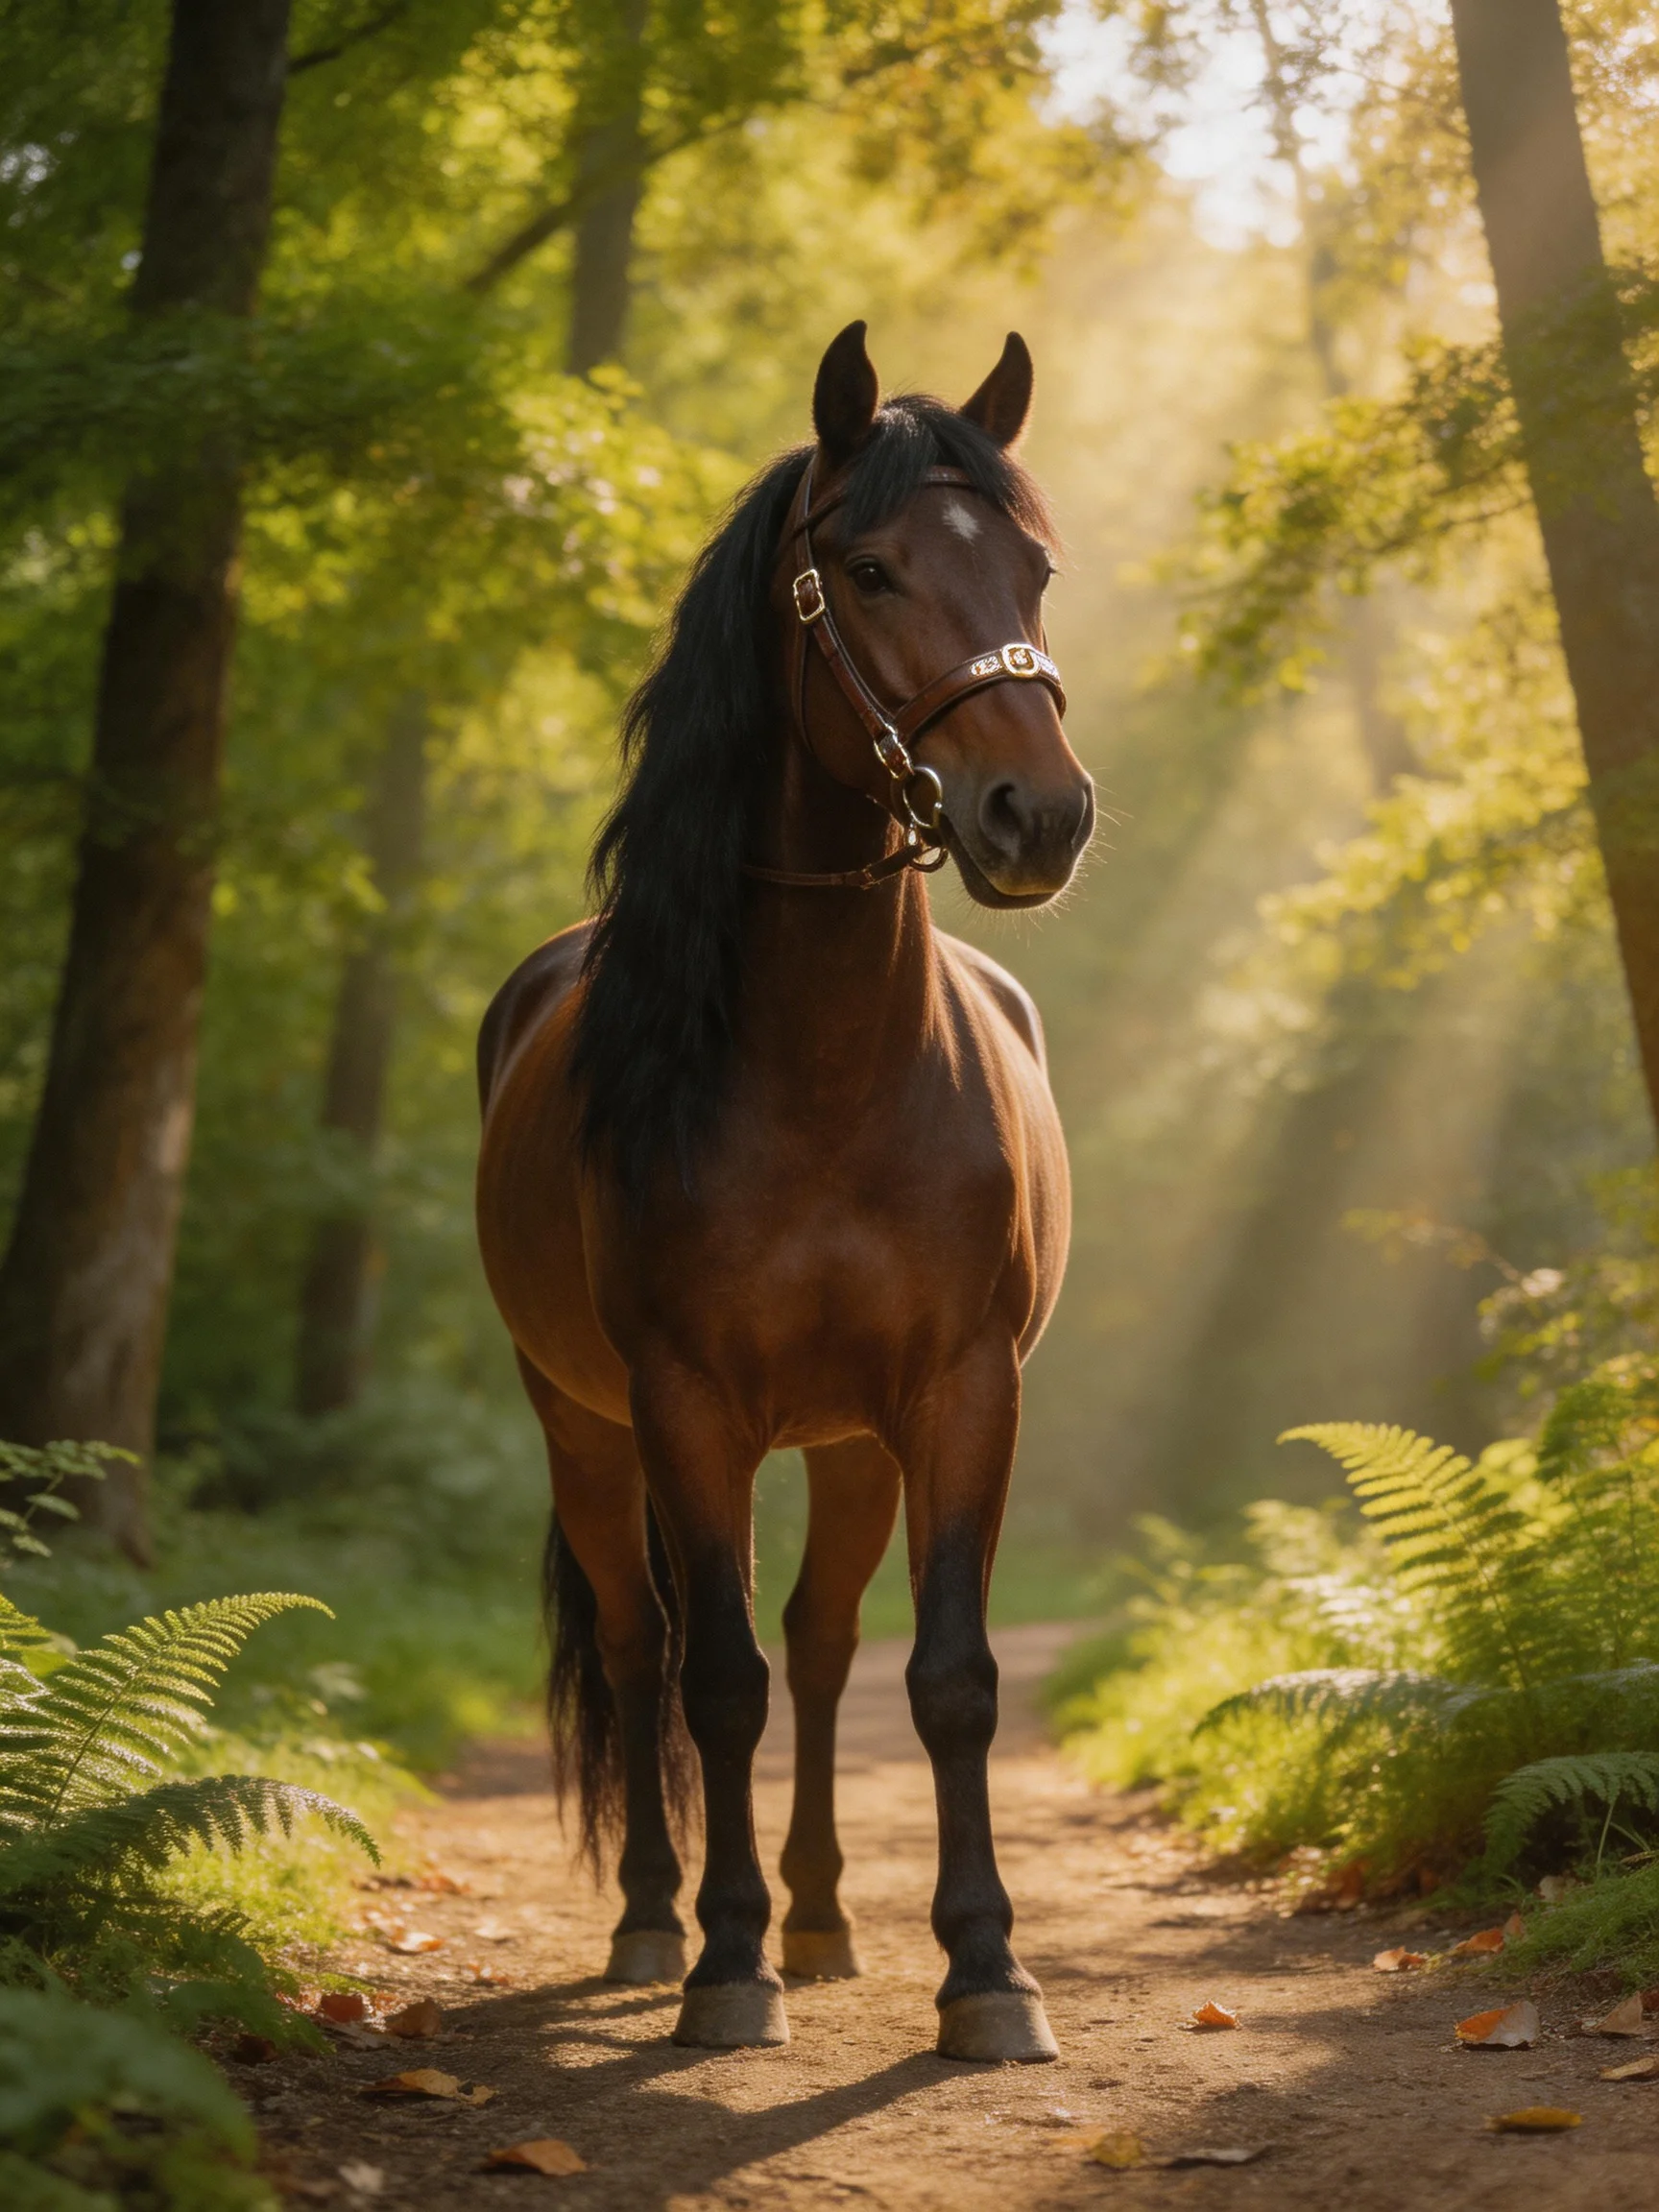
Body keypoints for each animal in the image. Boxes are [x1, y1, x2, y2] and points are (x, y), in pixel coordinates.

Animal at [475, 321, 1093, 2064]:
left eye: (1033, 567)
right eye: (868, 569)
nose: (1040, 814)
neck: (825, 1075)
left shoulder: (960, 1393)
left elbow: (942, 1674)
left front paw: (985, 1969)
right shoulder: (684, 1406)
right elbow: (714, 1680)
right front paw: (722, 1961)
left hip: (852, 1442)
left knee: (824, 1646)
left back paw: (822, 1918)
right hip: (585, 1430)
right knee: (643, 1649)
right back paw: (652, 1917)